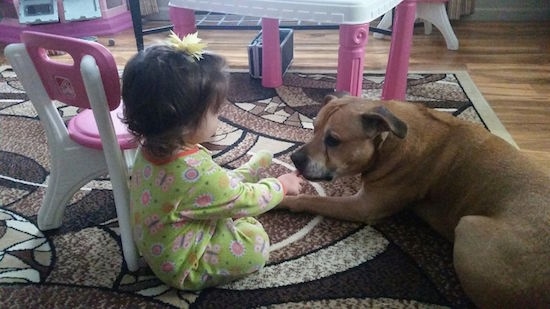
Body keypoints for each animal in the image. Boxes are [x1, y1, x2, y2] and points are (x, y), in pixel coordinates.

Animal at [282, 95, 548, 306]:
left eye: (333, 140)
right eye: (313, 128)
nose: (294, 158)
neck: (387, 140)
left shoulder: (362, 207)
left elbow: (313, 199)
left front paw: (286, 200)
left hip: (469, 227)